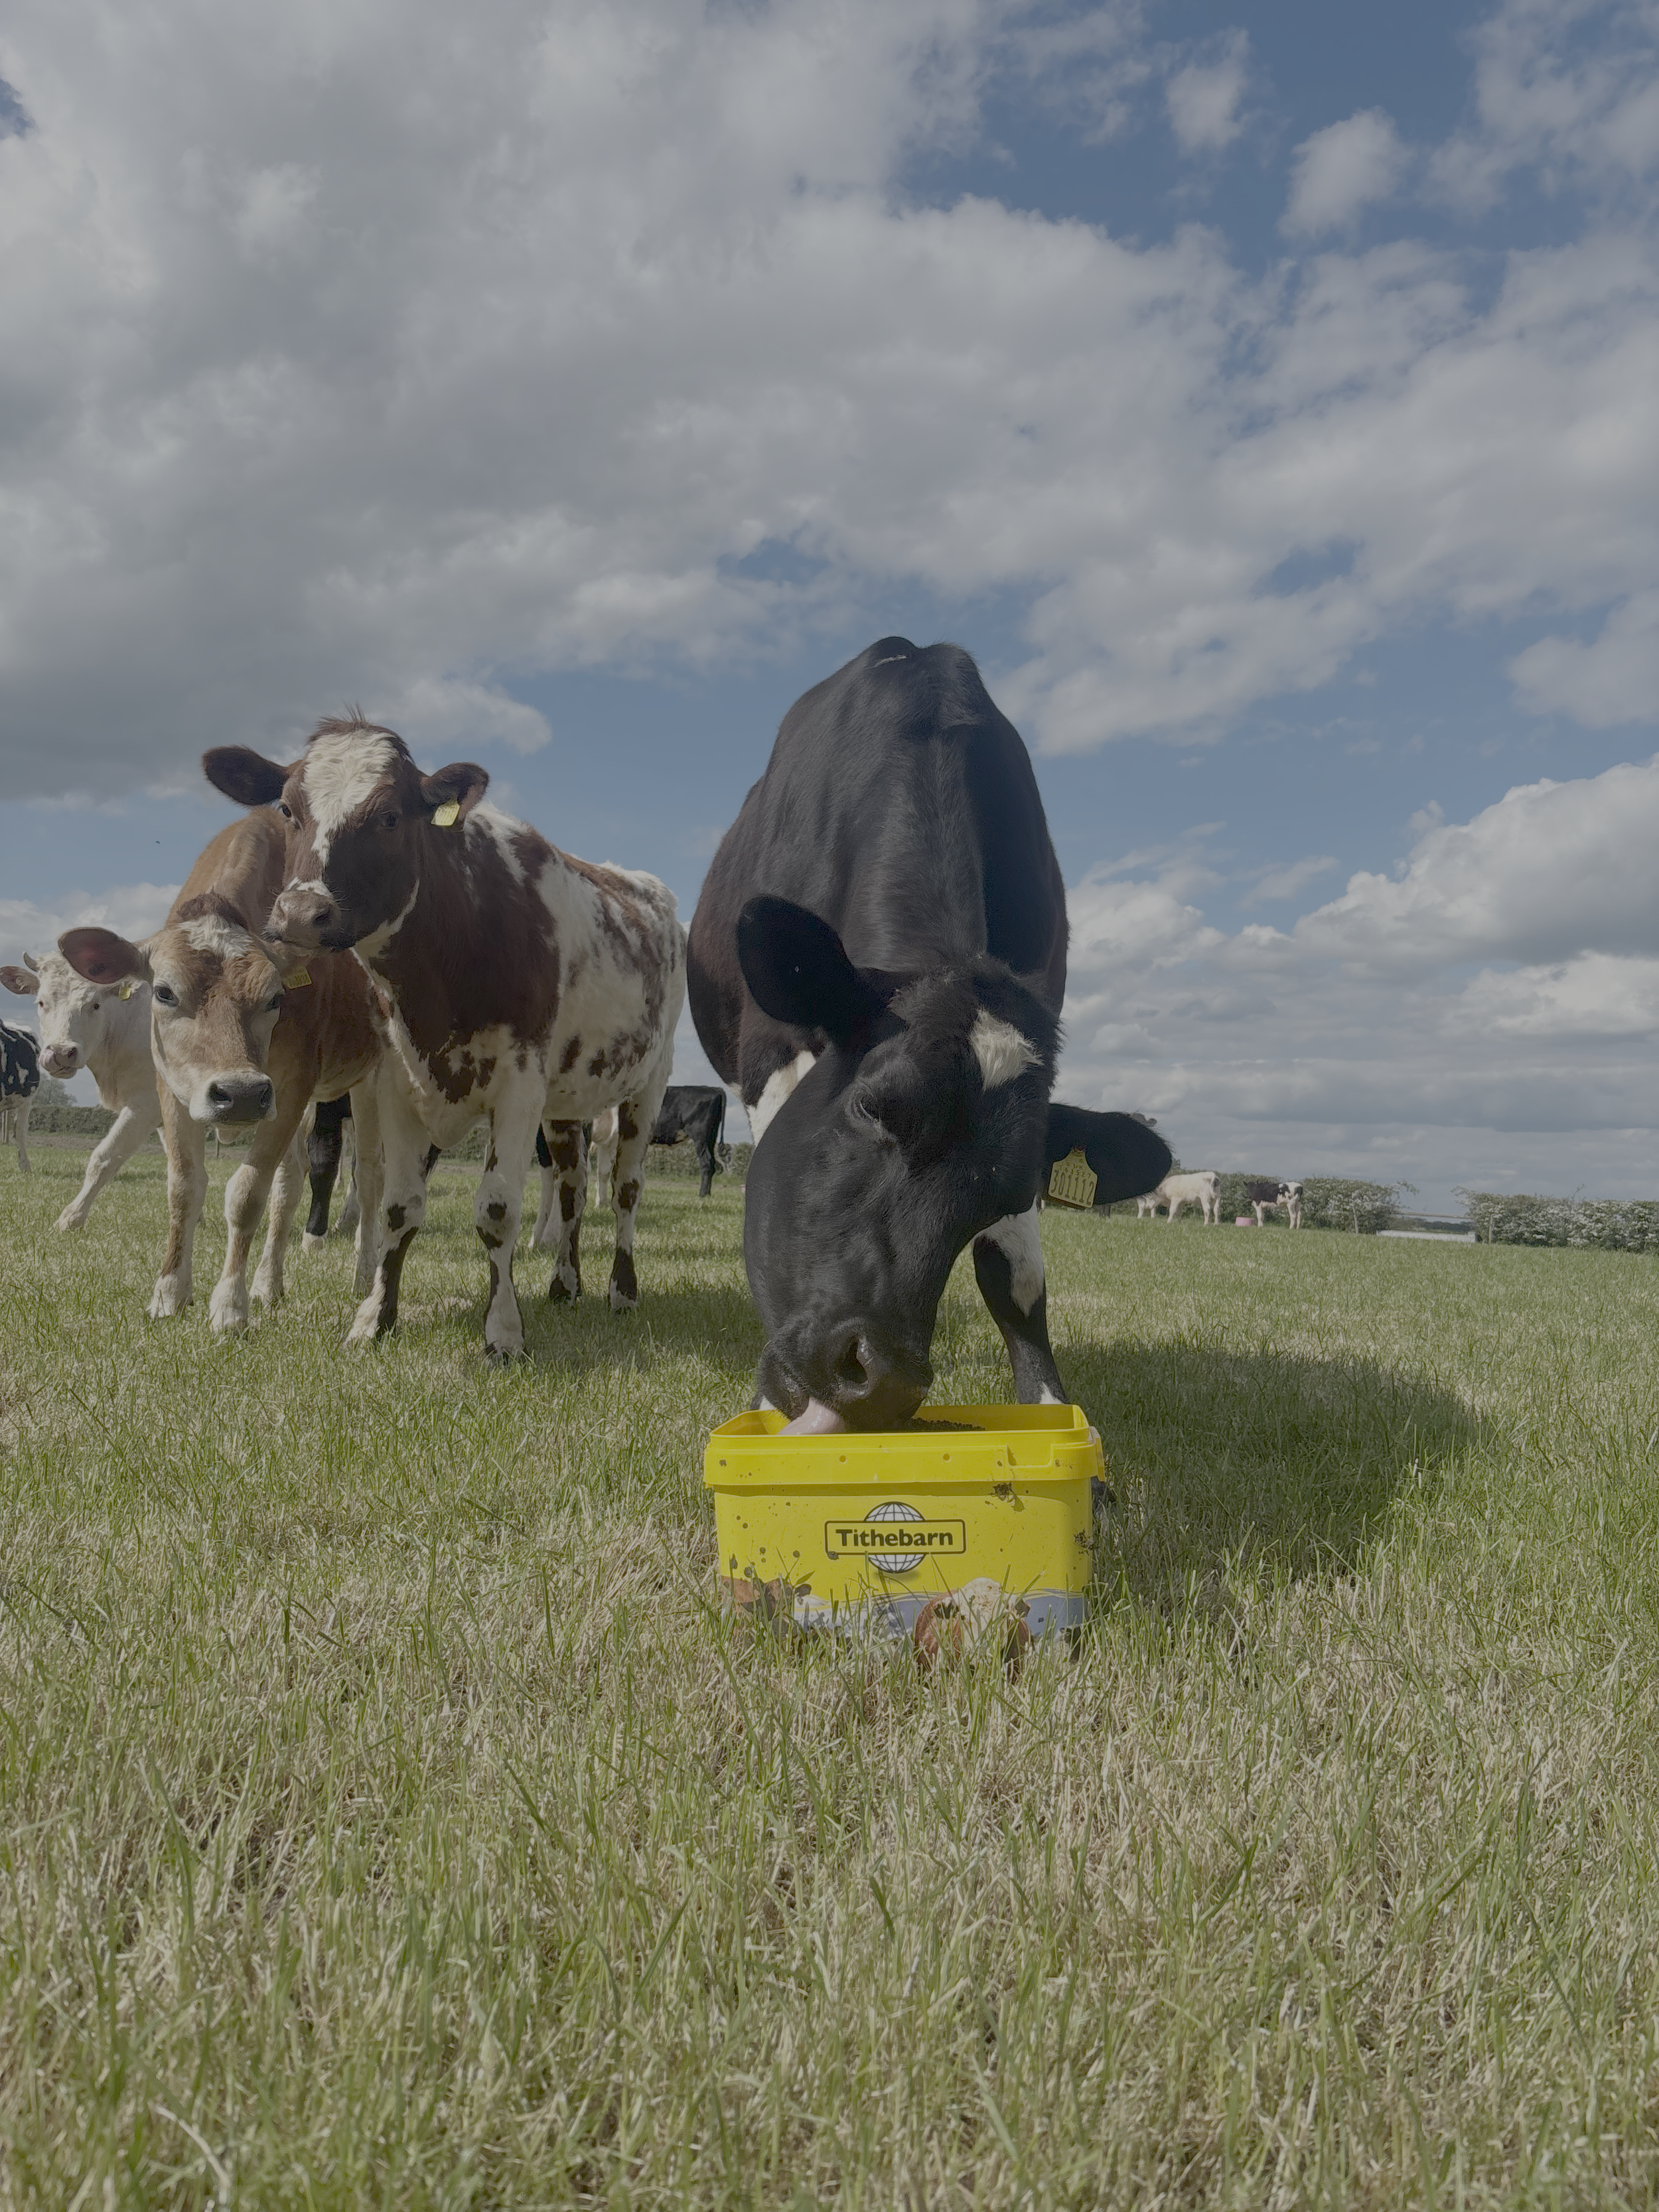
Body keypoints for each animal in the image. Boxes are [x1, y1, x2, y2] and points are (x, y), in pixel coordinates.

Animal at [60, 812, 384, 1331]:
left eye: (276, 997)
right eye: (164, 992)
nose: (241, 1093)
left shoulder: (291, 1085)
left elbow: (247, 1193)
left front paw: (230, 1304)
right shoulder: (174, 1088)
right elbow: (185, 1187)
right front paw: (170, 1292)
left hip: (372, 1081)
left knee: (369, 1176)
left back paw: (364, 1275)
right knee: (290, 1184)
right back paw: (269, 1283)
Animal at [201, 716, 686, 1361]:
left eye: (388, 816)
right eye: (287, 808)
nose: (301, 913)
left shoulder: (518, 1087)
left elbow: (498, 1209)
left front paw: (503, 1331)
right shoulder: (398, 1083)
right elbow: (398, 1207)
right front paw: (375, 1316)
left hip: (648, 1082)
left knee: (626, 1188)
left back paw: (620, 1290)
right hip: (566, 1100)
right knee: (574, 1188)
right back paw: (564, 1283)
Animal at [686, 636, 1172, 1431]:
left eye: (1008, 1193)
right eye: (871, 1106)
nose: (883, 1378)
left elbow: (1016, 1278)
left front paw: (1052, 1410)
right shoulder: (773, 1058)